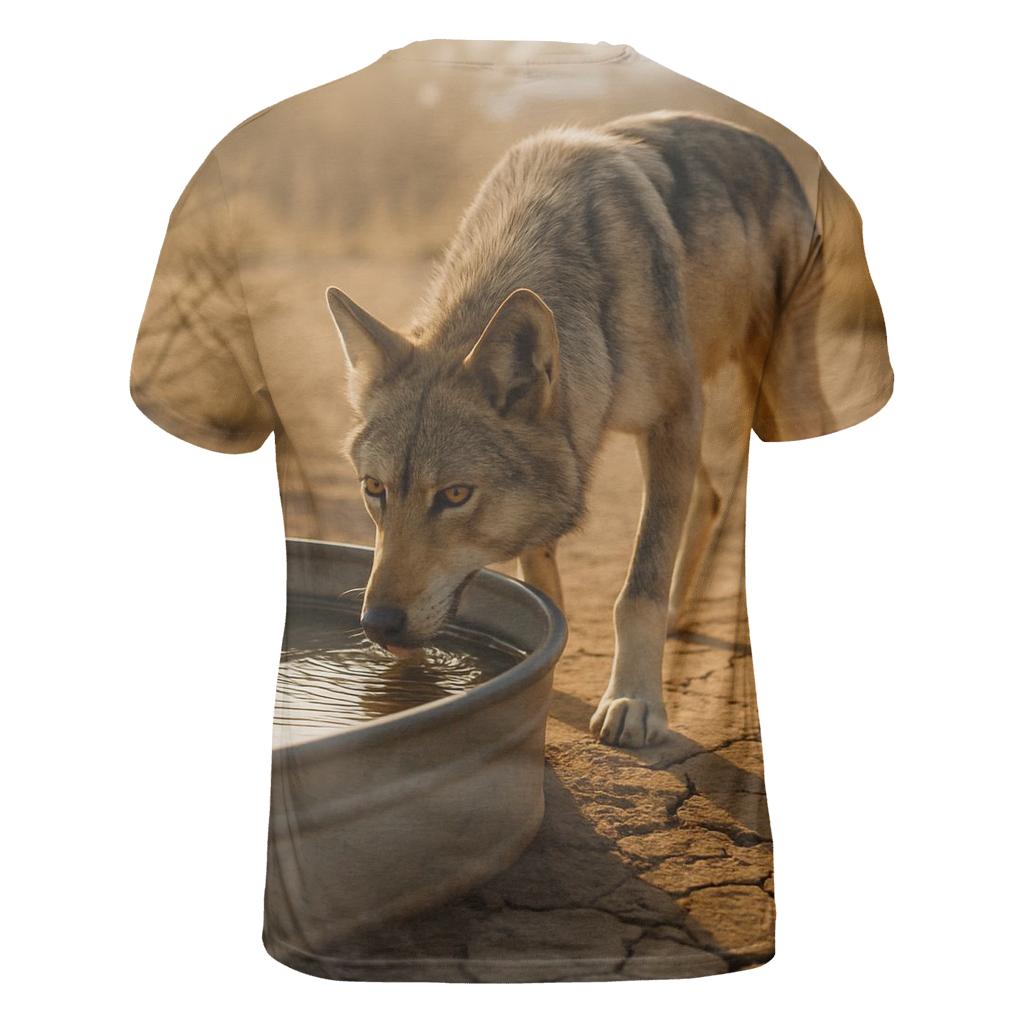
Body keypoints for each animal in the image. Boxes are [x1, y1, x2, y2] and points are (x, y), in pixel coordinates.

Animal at [325, 109, 822, 747]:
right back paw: (680, 613)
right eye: (374, 489)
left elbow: (638, 588)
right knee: (708, 497)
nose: (378, 623)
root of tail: (767, 145)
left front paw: (635, 701)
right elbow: (542, 579)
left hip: (769, 395)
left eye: (455, 495)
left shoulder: (675, 417)